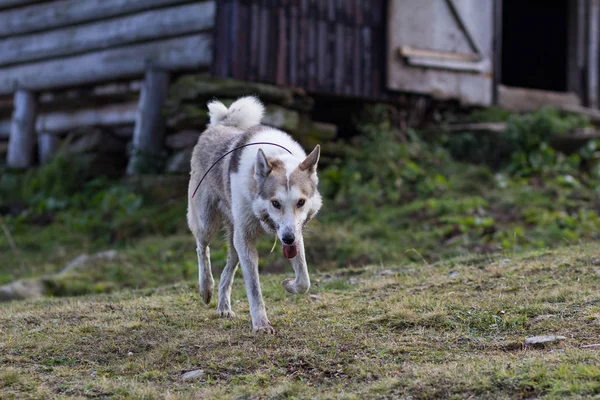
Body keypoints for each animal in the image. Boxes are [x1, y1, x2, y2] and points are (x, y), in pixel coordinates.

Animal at [188, 95, 322, 332]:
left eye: (301, 202)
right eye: (275, 203)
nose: (288, 238)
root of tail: (222, 124)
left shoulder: (294, 231)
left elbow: (304, 280)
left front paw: (289, 285)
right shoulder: (246, 237)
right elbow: (253, 287)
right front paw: (261, 324)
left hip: (235, 237)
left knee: (230, 264)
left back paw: (223, 306)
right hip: (207, 223)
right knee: (202, 248)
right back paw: (206, 288)